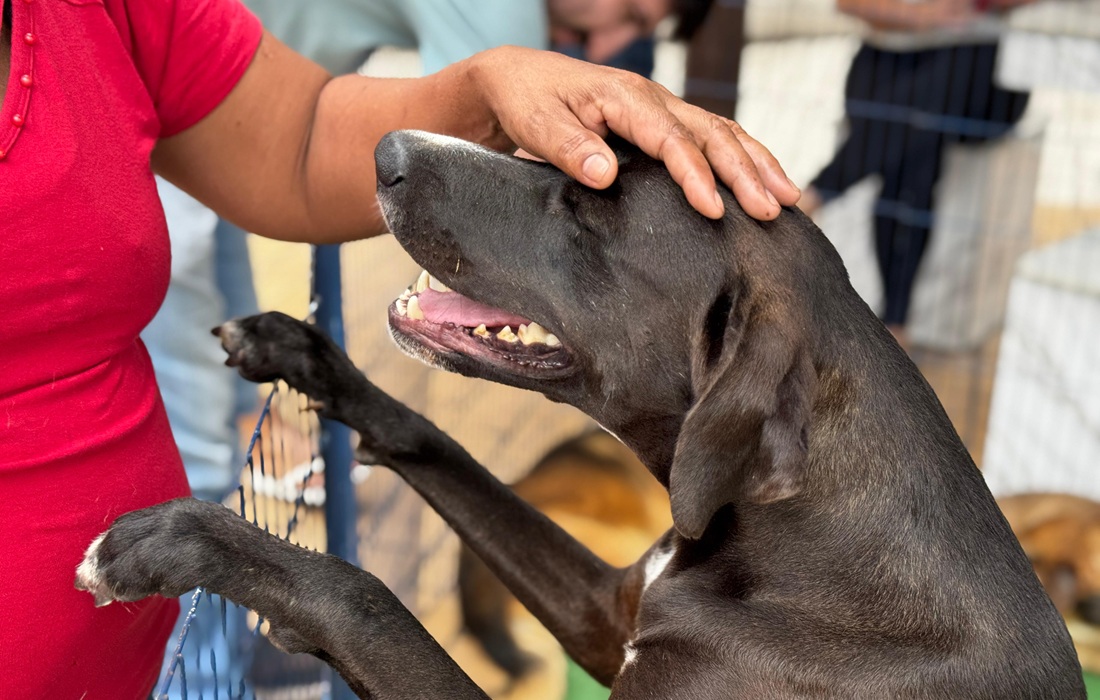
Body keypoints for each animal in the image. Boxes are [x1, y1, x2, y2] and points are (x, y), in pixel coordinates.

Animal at [76, 131, 1084, 698]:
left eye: (587, 209)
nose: (387, 152)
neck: (799, 529)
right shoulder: (609, 611)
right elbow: (434, 441)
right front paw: (309, 358)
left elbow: (364, 597)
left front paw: (186, 540)